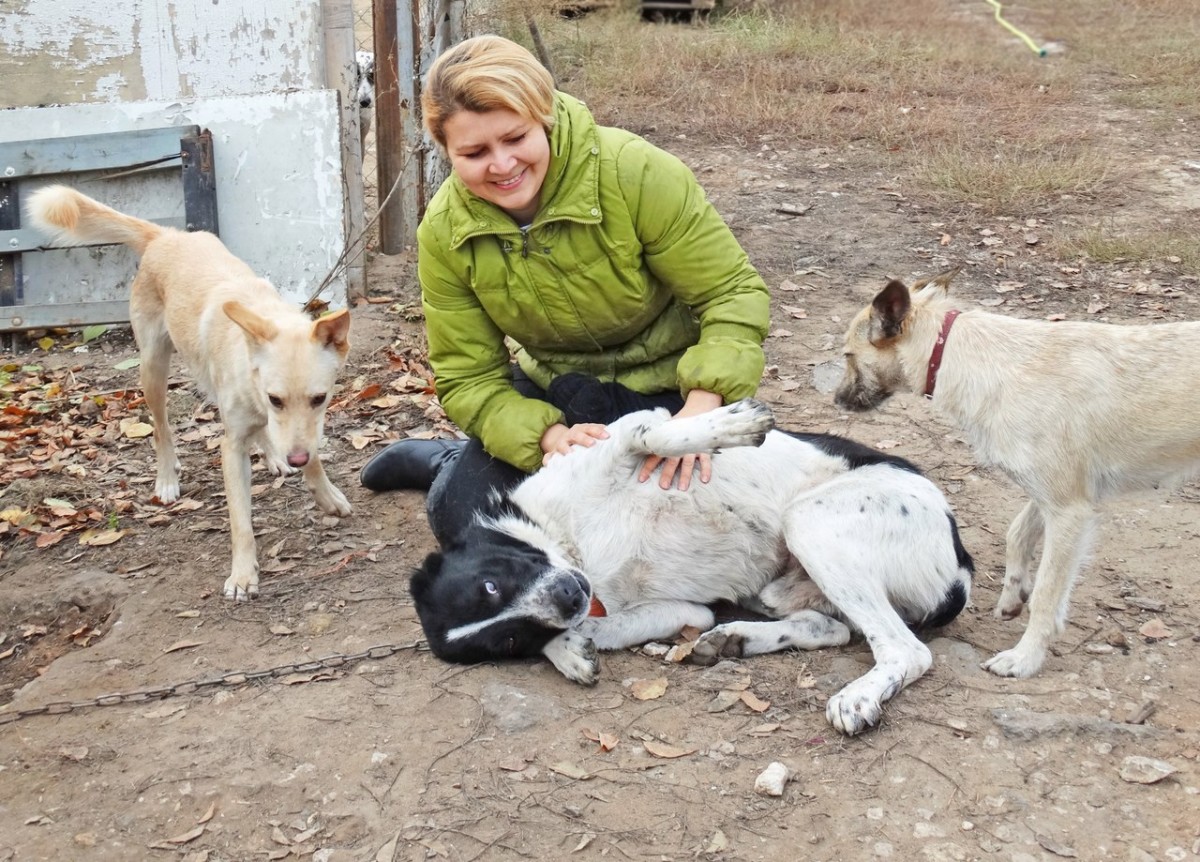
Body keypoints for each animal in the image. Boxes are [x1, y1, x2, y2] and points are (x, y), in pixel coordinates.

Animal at [408, 400, 969, 739]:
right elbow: (604, 628)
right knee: (830, 628)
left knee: (906, 650)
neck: (574, 545)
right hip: (780, 590)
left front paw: (734, 424)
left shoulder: (627, 431)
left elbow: (658, 436)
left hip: (812, 522)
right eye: (509, 640)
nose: (569, 599)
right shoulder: (683, 610)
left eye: (491, 583)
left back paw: (857, 696)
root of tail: (959, 560)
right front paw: (567, 650)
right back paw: (736, 640)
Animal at [830, 270, 1200, 681]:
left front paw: (1026, 657)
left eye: (848, 356)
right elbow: (1017, 535)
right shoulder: (1050, 495)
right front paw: (1012, 596)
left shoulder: (1069, 510)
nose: (836, 400)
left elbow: (1046, 594)